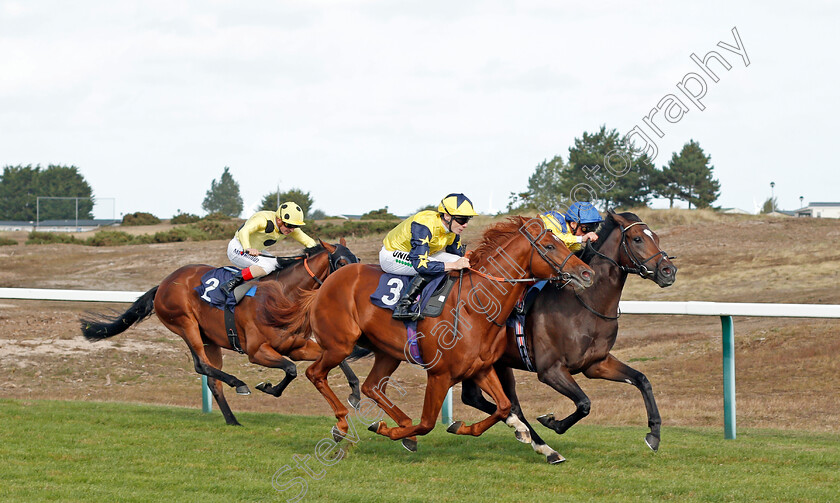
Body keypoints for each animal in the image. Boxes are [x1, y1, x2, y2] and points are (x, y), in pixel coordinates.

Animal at [79, 240, 364, 426]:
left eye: (357, 260)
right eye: (341, 261)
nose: (355, 281)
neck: (283, 297)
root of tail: (163, 283)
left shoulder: (297, 345)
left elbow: (337, 360)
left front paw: (354, 393)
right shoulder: (257, 351)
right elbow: (291, 369)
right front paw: (268, 387)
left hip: (210, 340)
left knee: (212, 378)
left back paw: (232, 420)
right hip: (185, 324)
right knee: (201, 365)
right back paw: (239, 384)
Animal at [262, 217, 596, 448]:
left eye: (565, 243)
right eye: (550, 246)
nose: (587, 273)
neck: (476, 306)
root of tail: (326, 283)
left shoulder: (481, 368)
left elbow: (503, 407)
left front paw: (462, 427)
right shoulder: (439, 375)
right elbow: (426, 423)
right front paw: (388, 430)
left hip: (388, 351)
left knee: (372, 387)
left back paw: (396, 425)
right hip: (338, 345)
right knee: (316, 374)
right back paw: (343, 425)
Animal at [460, 210, 676, 464]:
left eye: (657, 237)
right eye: (637, 239)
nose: (668, 271)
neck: (585, 304)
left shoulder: (596, 364)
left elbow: (642, 380)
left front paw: (654, 434)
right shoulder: (550, 370)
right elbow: (584, 403)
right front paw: (552, 422)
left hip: (496, 363)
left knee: (487, 399)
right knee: (496, 402)